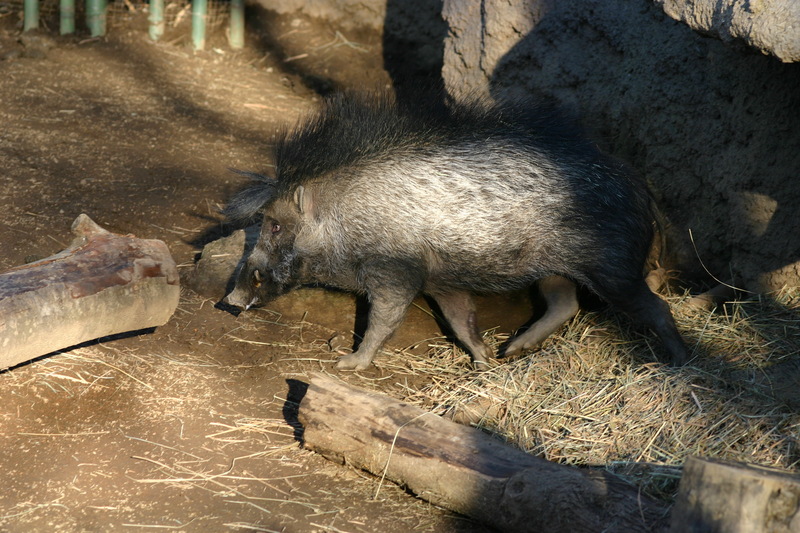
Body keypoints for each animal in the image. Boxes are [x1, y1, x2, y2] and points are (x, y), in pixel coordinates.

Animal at [223, 91, 688, 370]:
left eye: (276, 224)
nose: (229, 300)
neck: (344, 218)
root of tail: (643, 189)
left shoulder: (396, 273)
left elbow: (383, 321)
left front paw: (346, 366)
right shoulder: (441, 280)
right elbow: (461, 320)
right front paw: (484, 362)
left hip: (613, 268)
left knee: (656, 308)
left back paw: (681, 362)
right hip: (554, 269)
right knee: (565, 302)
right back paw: (512, 350)